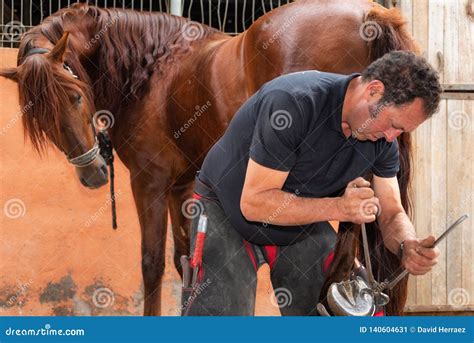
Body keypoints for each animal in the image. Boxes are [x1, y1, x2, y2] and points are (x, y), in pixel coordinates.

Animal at [0, 0, 416, 318]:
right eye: (41, 119)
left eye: (75, 96)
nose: (92, 176)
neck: (151, 69)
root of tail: (368, 14)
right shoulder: (181, 186)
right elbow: (185, 260)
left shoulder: (149, 182)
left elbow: (152, 265)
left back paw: (339, 280)